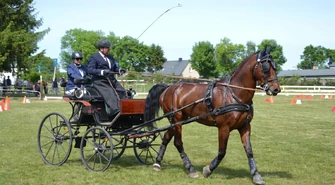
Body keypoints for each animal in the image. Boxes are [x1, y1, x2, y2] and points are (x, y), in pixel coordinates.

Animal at [143, 47, 282, 184]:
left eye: (275, 67)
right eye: (265, 66)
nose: (276, 89)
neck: (234, 93)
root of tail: (168, 88)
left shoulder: (245, 126)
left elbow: (249, 151)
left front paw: (256, 175)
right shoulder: (224, 127)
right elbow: (222, 152)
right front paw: (208, 170)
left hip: (177, 120)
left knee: (166, 137)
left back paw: (157, 163)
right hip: (176, 119)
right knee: (178, 143)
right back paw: (190, 168)